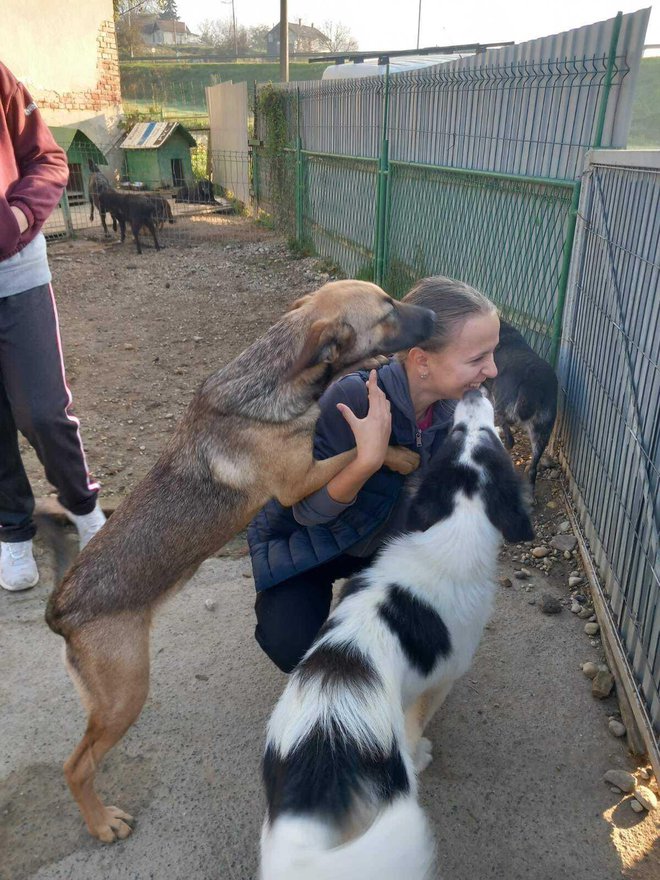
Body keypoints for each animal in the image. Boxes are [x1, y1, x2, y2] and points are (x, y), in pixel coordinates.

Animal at [47, 282, 438, 844]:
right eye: (387, 312)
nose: (433, 316)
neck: (271, 379)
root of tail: (60, 607)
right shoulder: (300, 481)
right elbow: (363, 452)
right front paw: (401, 454)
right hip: (125, 691)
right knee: (76, 765)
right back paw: (102, 823)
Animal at [260, 390, 532, 880]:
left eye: (463, 435)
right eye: (476, 433)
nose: (475, 392)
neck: (454, 529)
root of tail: (321, 750)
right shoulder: (441, 678)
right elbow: (419, 718)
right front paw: (421, 749)